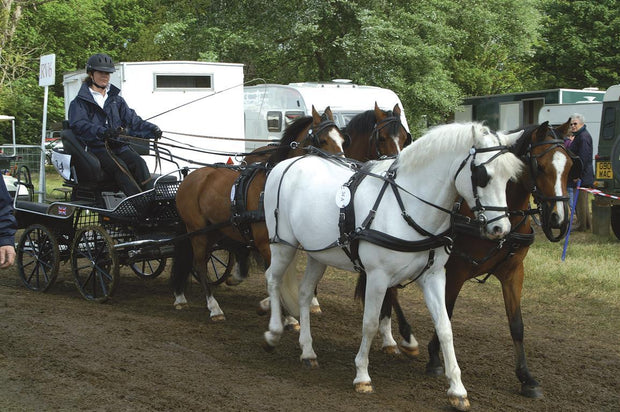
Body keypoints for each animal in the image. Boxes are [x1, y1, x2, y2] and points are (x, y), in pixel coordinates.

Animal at [171, 104, 348, 320]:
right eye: (322, 141)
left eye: (342, 140)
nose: (345, 168)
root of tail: (190, 177)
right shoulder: (266, 244)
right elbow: (274, 277)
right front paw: (281, 313)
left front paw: (284, 313)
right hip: (197, 231)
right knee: (199, 264)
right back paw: (214, 307)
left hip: (213, 230)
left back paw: (181, 297)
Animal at [260, 121, 524, 408]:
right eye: (482, 175)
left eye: (509, 178)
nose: (500, 229)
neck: (408, 207)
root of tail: (287, 164)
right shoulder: (377, 277)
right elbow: (370, 323)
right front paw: (362, 375)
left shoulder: (434, 277)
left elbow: (444, 327)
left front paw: (457, 389)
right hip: (283, 245)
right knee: (272, 279)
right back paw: (273, 332)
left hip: (319, 255)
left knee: (305, 293)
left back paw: (308, 351)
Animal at [358, 119, 576, 400]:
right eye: (540, 165)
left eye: (570, 165)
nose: (559, 219)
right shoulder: (455, 271)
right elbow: (446, 314)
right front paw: (435, 359)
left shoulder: (513, 272)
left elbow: (516, 324)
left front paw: (526, 378)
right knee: (390, 291)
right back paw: (403, 337)